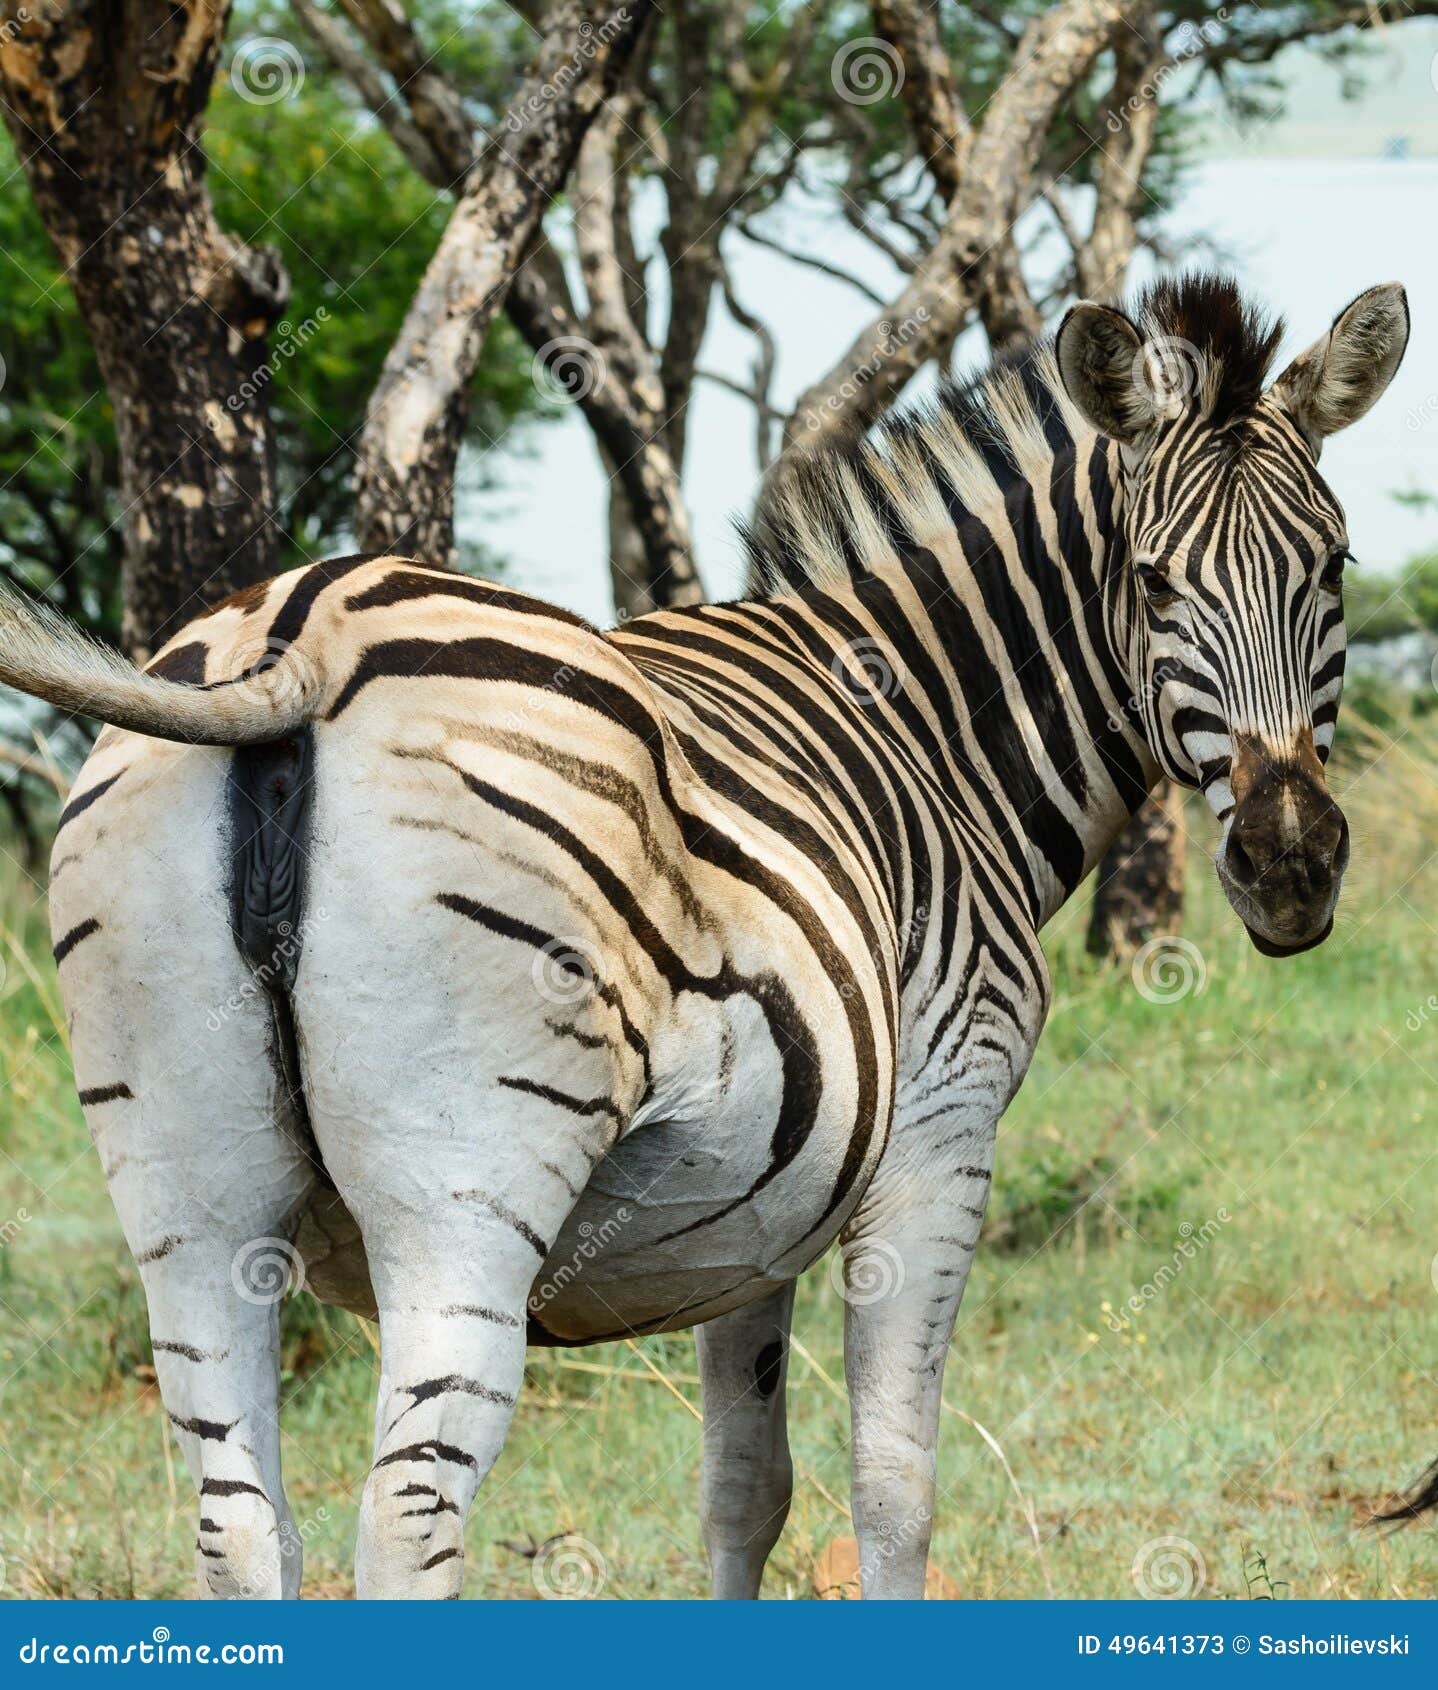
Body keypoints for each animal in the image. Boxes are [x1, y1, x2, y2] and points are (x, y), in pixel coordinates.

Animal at [0, 267, 1412, 1595]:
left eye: (1332, 568)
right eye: (1153, 582)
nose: (1290, 864)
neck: (930, 733)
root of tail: (299, 629)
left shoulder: (753, 1208)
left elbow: (747, 1486)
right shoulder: (940, 1130)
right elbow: (892, 1483)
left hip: (186, 1191)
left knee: (238, 1521)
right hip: (465, 1183)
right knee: (409, 1519)